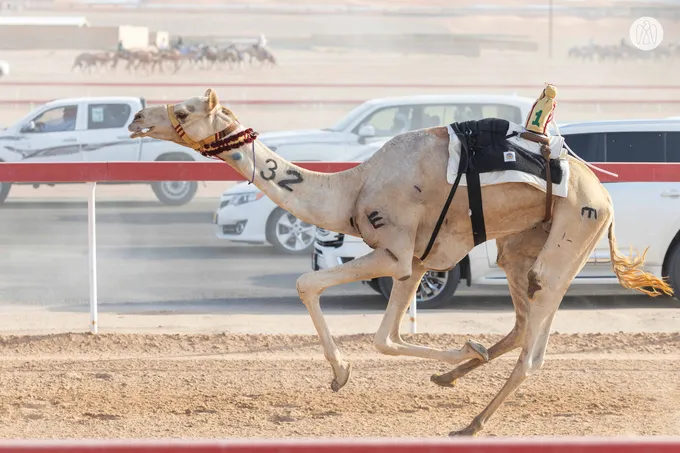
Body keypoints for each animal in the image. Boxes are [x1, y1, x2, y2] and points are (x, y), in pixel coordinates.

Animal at [127, 87, 673, 437]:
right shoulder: (419, 260)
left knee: (533, 350)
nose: (136, 119)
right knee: (520, 321)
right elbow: (384, 338)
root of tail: (602, 190)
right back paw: (454, 377)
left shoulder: (392, 250)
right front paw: (459, 354)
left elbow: (308, 284)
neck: (350, 188)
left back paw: (472, 423)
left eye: (183, 110)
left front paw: (342, 373)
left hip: (573, 233)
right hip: (520, 245)